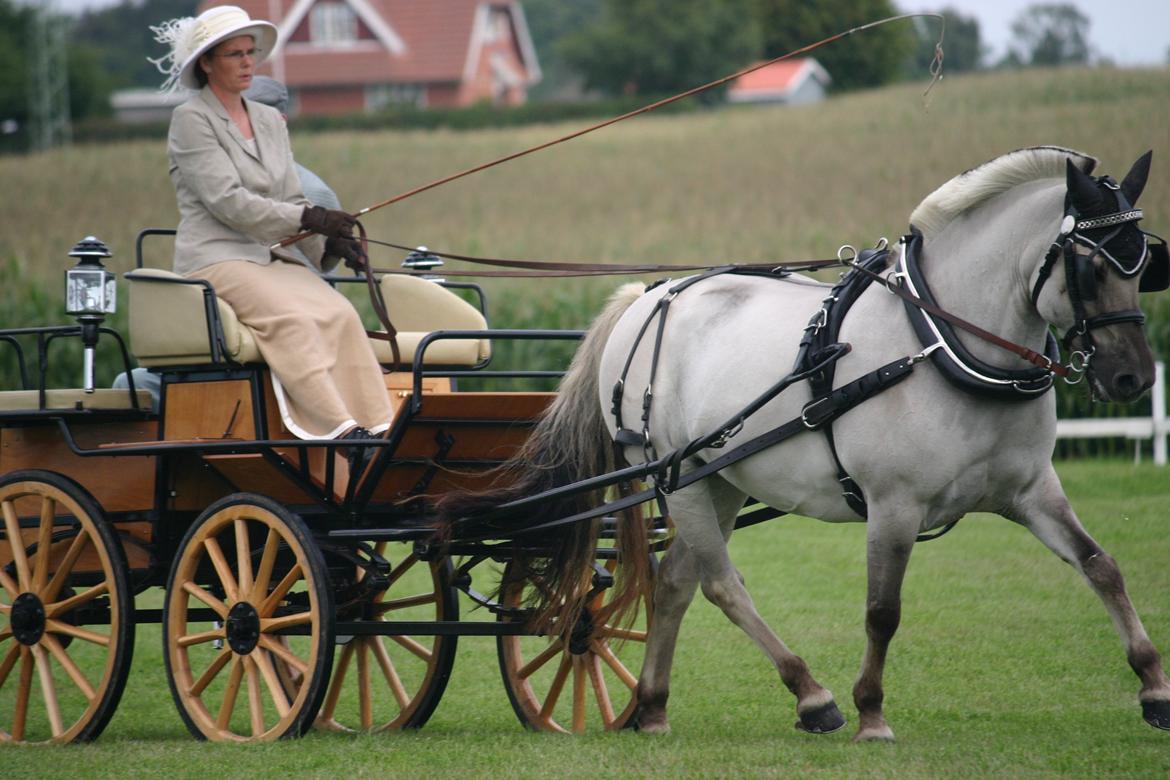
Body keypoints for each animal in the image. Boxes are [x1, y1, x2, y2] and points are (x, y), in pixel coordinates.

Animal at [439, 147, 1170, 743]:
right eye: (1090, 266)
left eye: (1144, 262)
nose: (1133, 377)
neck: (942, 343)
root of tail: (647, 298)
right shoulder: (893, 505)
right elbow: (882, 611)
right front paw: (871, 712)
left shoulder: (1030, 491)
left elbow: (1102, 566)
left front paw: (1153, 686)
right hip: (680, 477)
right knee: (720, 584)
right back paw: (811, 696)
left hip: (717, 478)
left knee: (674, 583)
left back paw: (652, 705)